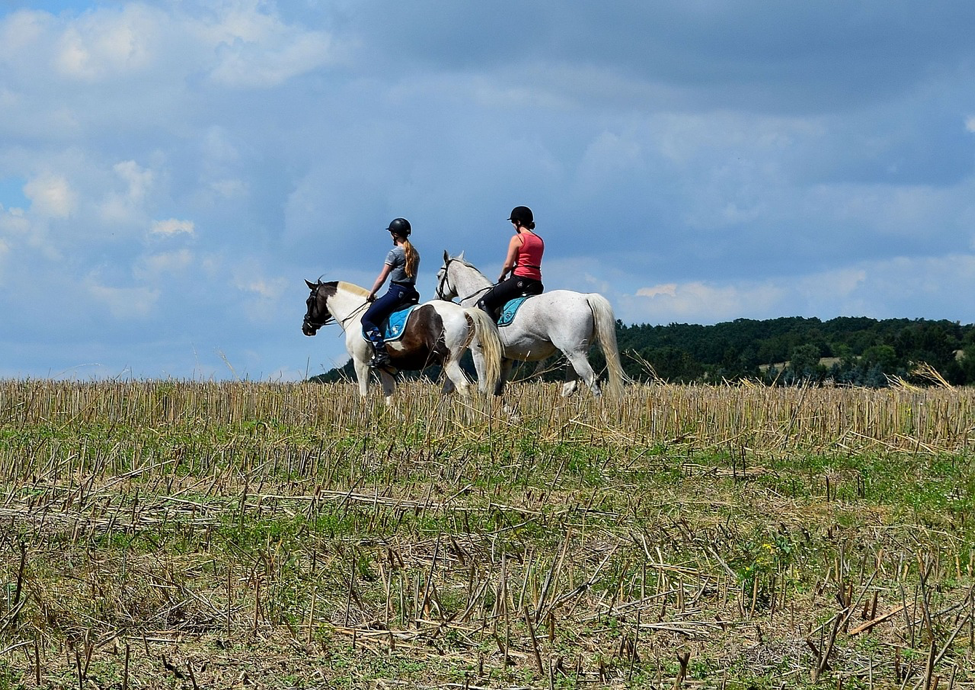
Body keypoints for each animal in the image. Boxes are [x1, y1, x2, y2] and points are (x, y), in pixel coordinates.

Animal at [304, 278, 504, 400]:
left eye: (308, 301)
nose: (306, 327)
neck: (355, 314)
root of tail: (463, 311)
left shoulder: (360, 363)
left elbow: (364, 394)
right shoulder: (386, 367)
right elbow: (389, 395)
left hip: (449, 360)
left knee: (463, 386)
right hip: (453, 359)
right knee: (449, 389)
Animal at [436, 250, 624, 396]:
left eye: (438, 276)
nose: (437, 296)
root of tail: (585, 297)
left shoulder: (478, 352)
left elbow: (483, 389)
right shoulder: (506, 358)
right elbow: (497, 389)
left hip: (575, 352)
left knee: (592, 380)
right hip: (574, 353)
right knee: (570, 387)